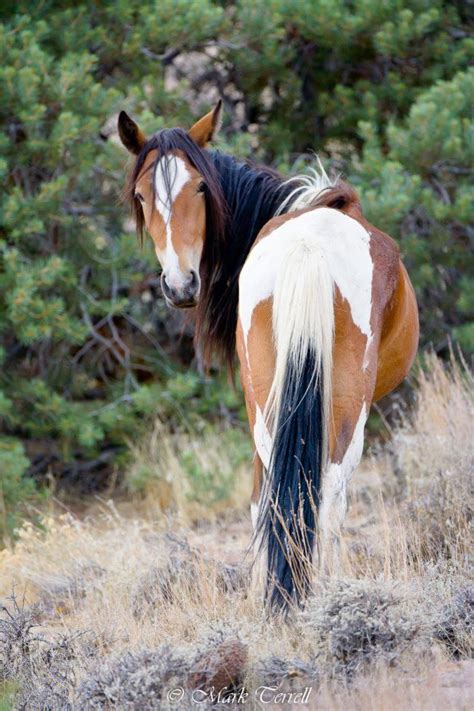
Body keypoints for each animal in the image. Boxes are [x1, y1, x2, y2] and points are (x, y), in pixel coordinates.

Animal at [117, 101, 418, 612]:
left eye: (200, 187)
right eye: (141, 196)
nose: (180, 285)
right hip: (344, 411)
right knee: (327, 495)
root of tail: (309, 245)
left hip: (266, 401)